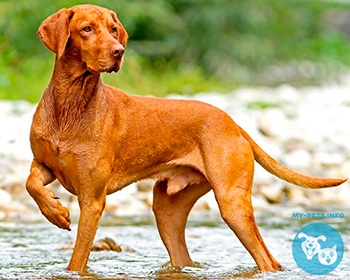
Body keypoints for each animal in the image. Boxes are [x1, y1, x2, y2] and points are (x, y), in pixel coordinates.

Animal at [26, 3, 346, 272]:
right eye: (86, 29)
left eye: (113, 29)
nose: (119, 51)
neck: (70, 106)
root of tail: (233, 123)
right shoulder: (45, 164)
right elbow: (31, 184)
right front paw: (54, 212)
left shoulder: (92, 200)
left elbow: (77, 260)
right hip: (167, 211)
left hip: (232, 204)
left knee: (268, 260)